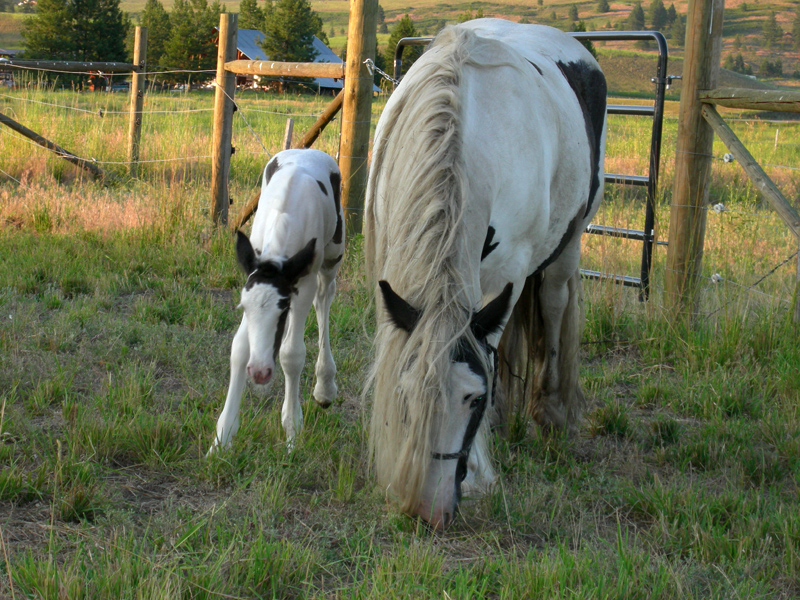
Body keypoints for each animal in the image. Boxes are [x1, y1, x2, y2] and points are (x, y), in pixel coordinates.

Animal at [209, 148, 344, 453]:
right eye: (242, 307)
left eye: (283, 307)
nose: (259, 372)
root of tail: (309, 150)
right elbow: (239, 348)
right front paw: (221, 440)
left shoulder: (302, 284)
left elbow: (291, 354)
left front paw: (292, 432)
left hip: (333, 254)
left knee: (324, 298)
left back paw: (325, 387)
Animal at [364, 19, 606, 529]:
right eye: (404, 393)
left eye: (472, 398)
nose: (431, 509)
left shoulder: (506, 272)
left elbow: (489, 353)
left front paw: (478, 469)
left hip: (567, 246)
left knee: (553, 305)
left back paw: (549, 411)